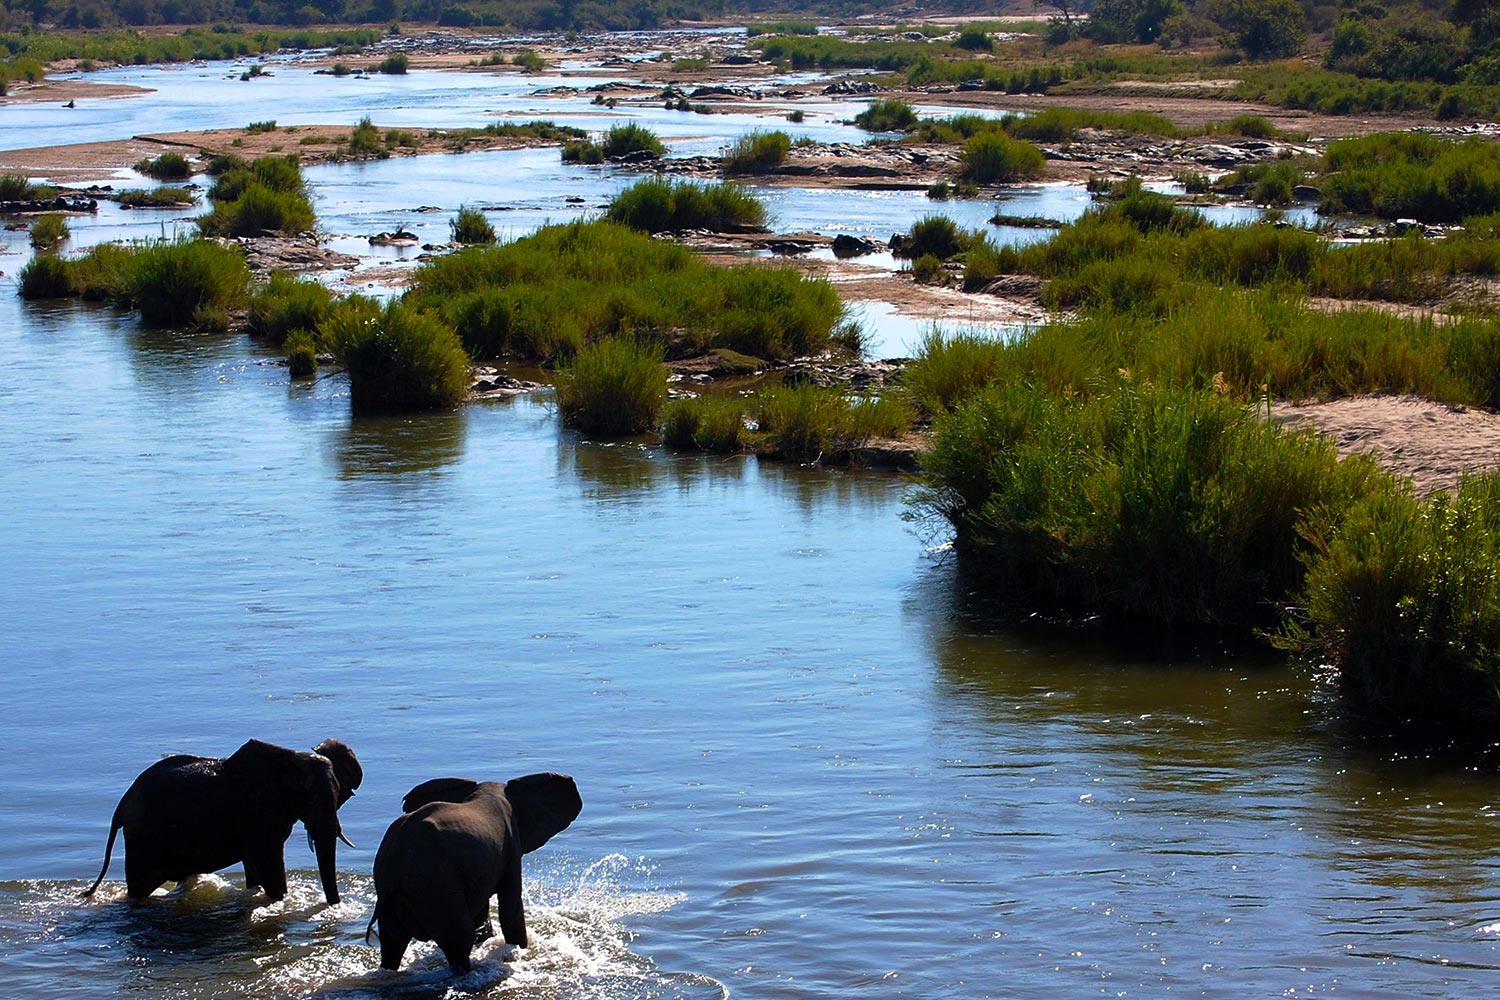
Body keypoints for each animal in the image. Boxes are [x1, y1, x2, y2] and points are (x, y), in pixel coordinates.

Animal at [82, 734, 363, 905]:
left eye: (338, 794)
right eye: (309, 798)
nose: (334, 905)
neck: (290, 761)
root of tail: (119, 809)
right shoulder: (258, 814)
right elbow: (269, 866)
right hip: (144, 838)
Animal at [369, 773, 585, 971]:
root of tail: (394, 862)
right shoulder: (510, 847)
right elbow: (510, 906)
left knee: (392, 943)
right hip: (435, 887)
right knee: (459, 938)